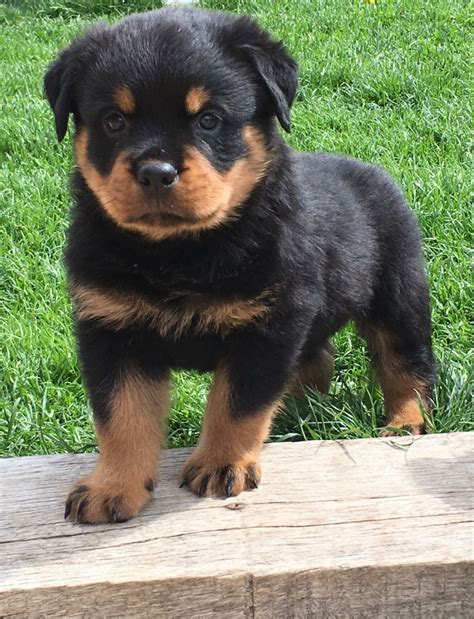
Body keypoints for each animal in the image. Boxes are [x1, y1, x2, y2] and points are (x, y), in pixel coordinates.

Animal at [45, 8, 436, 524]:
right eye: (113, 121)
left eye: (209, 120)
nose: (155, 173)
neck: (178, 253)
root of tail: (371, 170)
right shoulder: (110, 328)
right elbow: (121, 417)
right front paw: (112, 487)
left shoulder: (268, 327)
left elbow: (236, 403)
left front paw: (220, 464)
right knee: (316, 359)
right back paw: (291, 411)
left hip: (399, 292)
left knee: (406, 363)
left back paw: (405, 423)